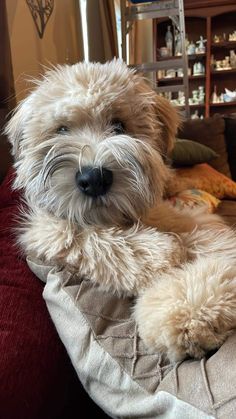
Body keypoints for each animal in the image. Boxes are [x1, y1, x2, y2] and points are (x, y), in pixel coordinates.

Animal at [5, 60, 236, 364]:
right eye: (62, 129)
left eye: (119, 125)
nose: (94, 178)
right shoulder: (45, 230)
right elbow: (86, 238)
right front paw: (164, 256)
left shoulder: (193, 223)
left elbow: (218, 249)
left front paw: (188, 313)